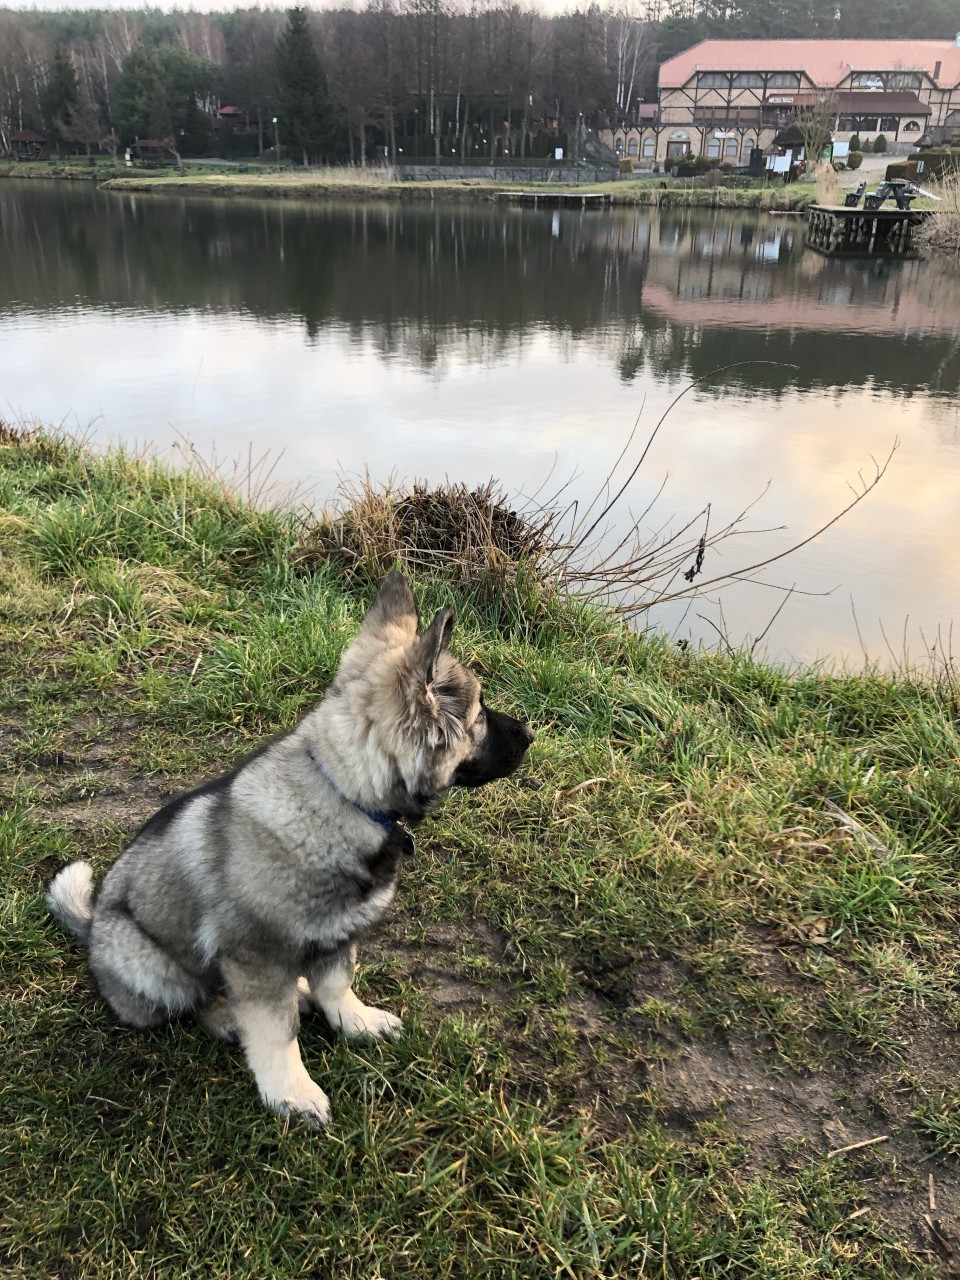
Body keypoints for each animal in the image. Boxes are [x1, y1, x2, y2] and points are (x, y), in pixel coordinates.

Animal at [47, 572, 534, 1127]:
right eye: (479, 715)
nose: (532, 732)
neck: (344, 794)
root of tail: (91, 931)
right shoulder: (256, 958)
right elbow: (277, 1032)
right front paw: (291, 1091)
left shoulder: (340, 931)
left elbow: (337, 981)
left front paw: (355, 1021)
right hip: (150, 964)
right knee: (192, 999)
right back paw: (225, 1017)